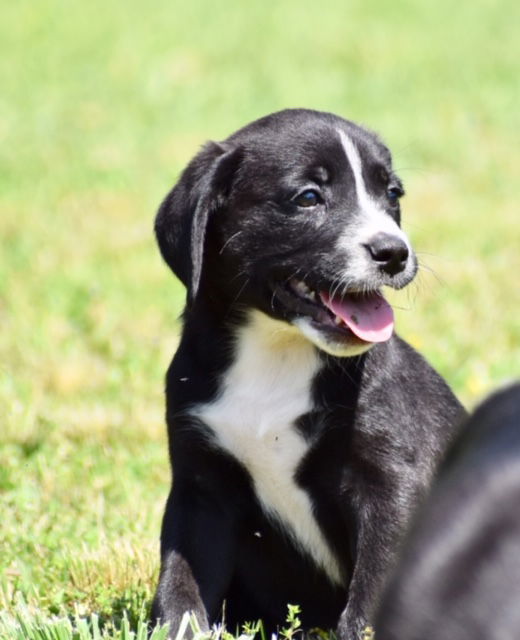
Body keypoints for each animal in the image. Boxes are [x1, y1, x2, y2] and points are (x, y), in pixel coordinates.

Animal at [150, 110, 464, 640]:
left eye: (392, 194)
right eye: (309, 197)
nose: (394, 252)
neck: (277, 353)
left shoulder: (390, 483)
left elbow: (373, 588)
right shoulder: (201, 486)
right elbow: (182, 580)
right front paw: (175, 627)